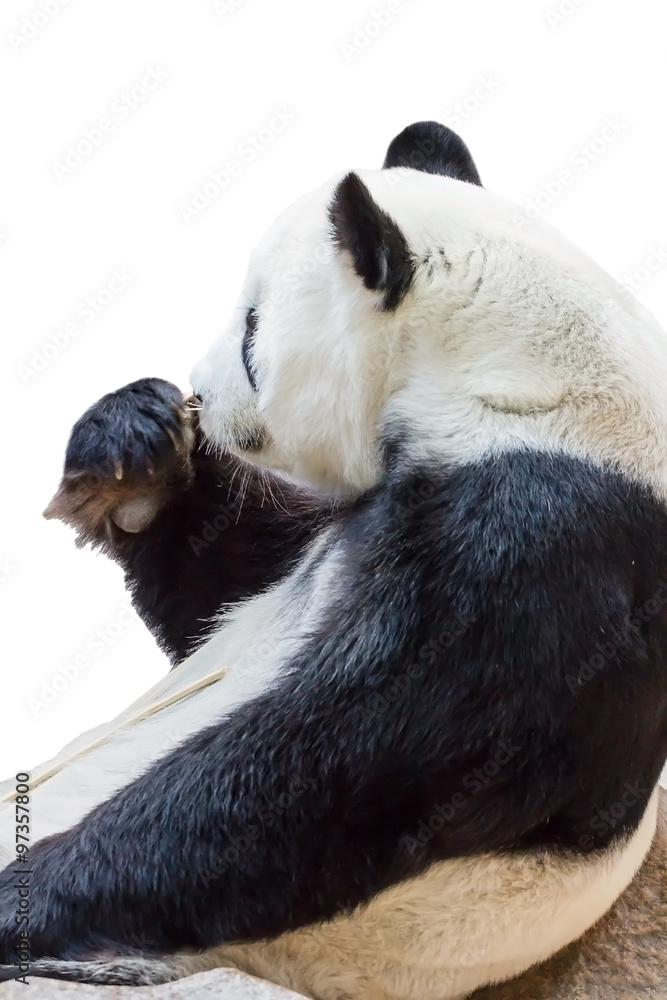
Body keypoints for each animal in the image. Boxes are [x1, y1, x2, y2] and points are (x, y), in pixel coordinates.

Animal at [1, 122, 667, 1000]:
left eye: (253, 333)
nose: (199, 389)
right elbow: (222, 588)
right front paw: (135, 445)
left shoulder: (542, 552)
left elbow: (321, 783)